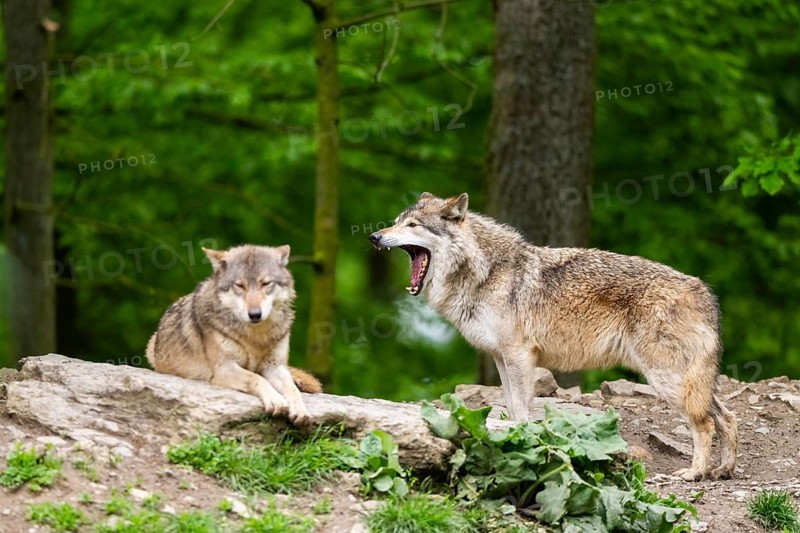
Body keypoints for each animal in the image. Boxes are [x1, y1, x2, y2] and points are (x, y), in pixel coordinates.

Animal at [145, 244, 321, 425]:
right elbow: (256, 378)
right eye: (240, 285)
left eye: (265, 283)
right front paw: (276, 400)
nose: (255, 314)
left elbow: (291, 389)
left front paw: (300, 409)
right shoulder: (224, 369)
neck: (256, 337)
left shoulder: (274, 366)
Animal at [369, 192, 739, 481]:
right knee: (727, 416)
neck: (484, 273)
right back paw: (723, 471)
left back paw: (695, 473)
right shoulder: (501, 357)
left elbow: (522, 407)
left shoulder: (520, 355)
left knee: (705, 423)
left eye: (412, 226)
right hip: (691, 381)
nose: (374, 236)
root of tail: (704, 292)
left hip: (667, 380)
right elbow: (512, 407)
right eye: (396, 222)